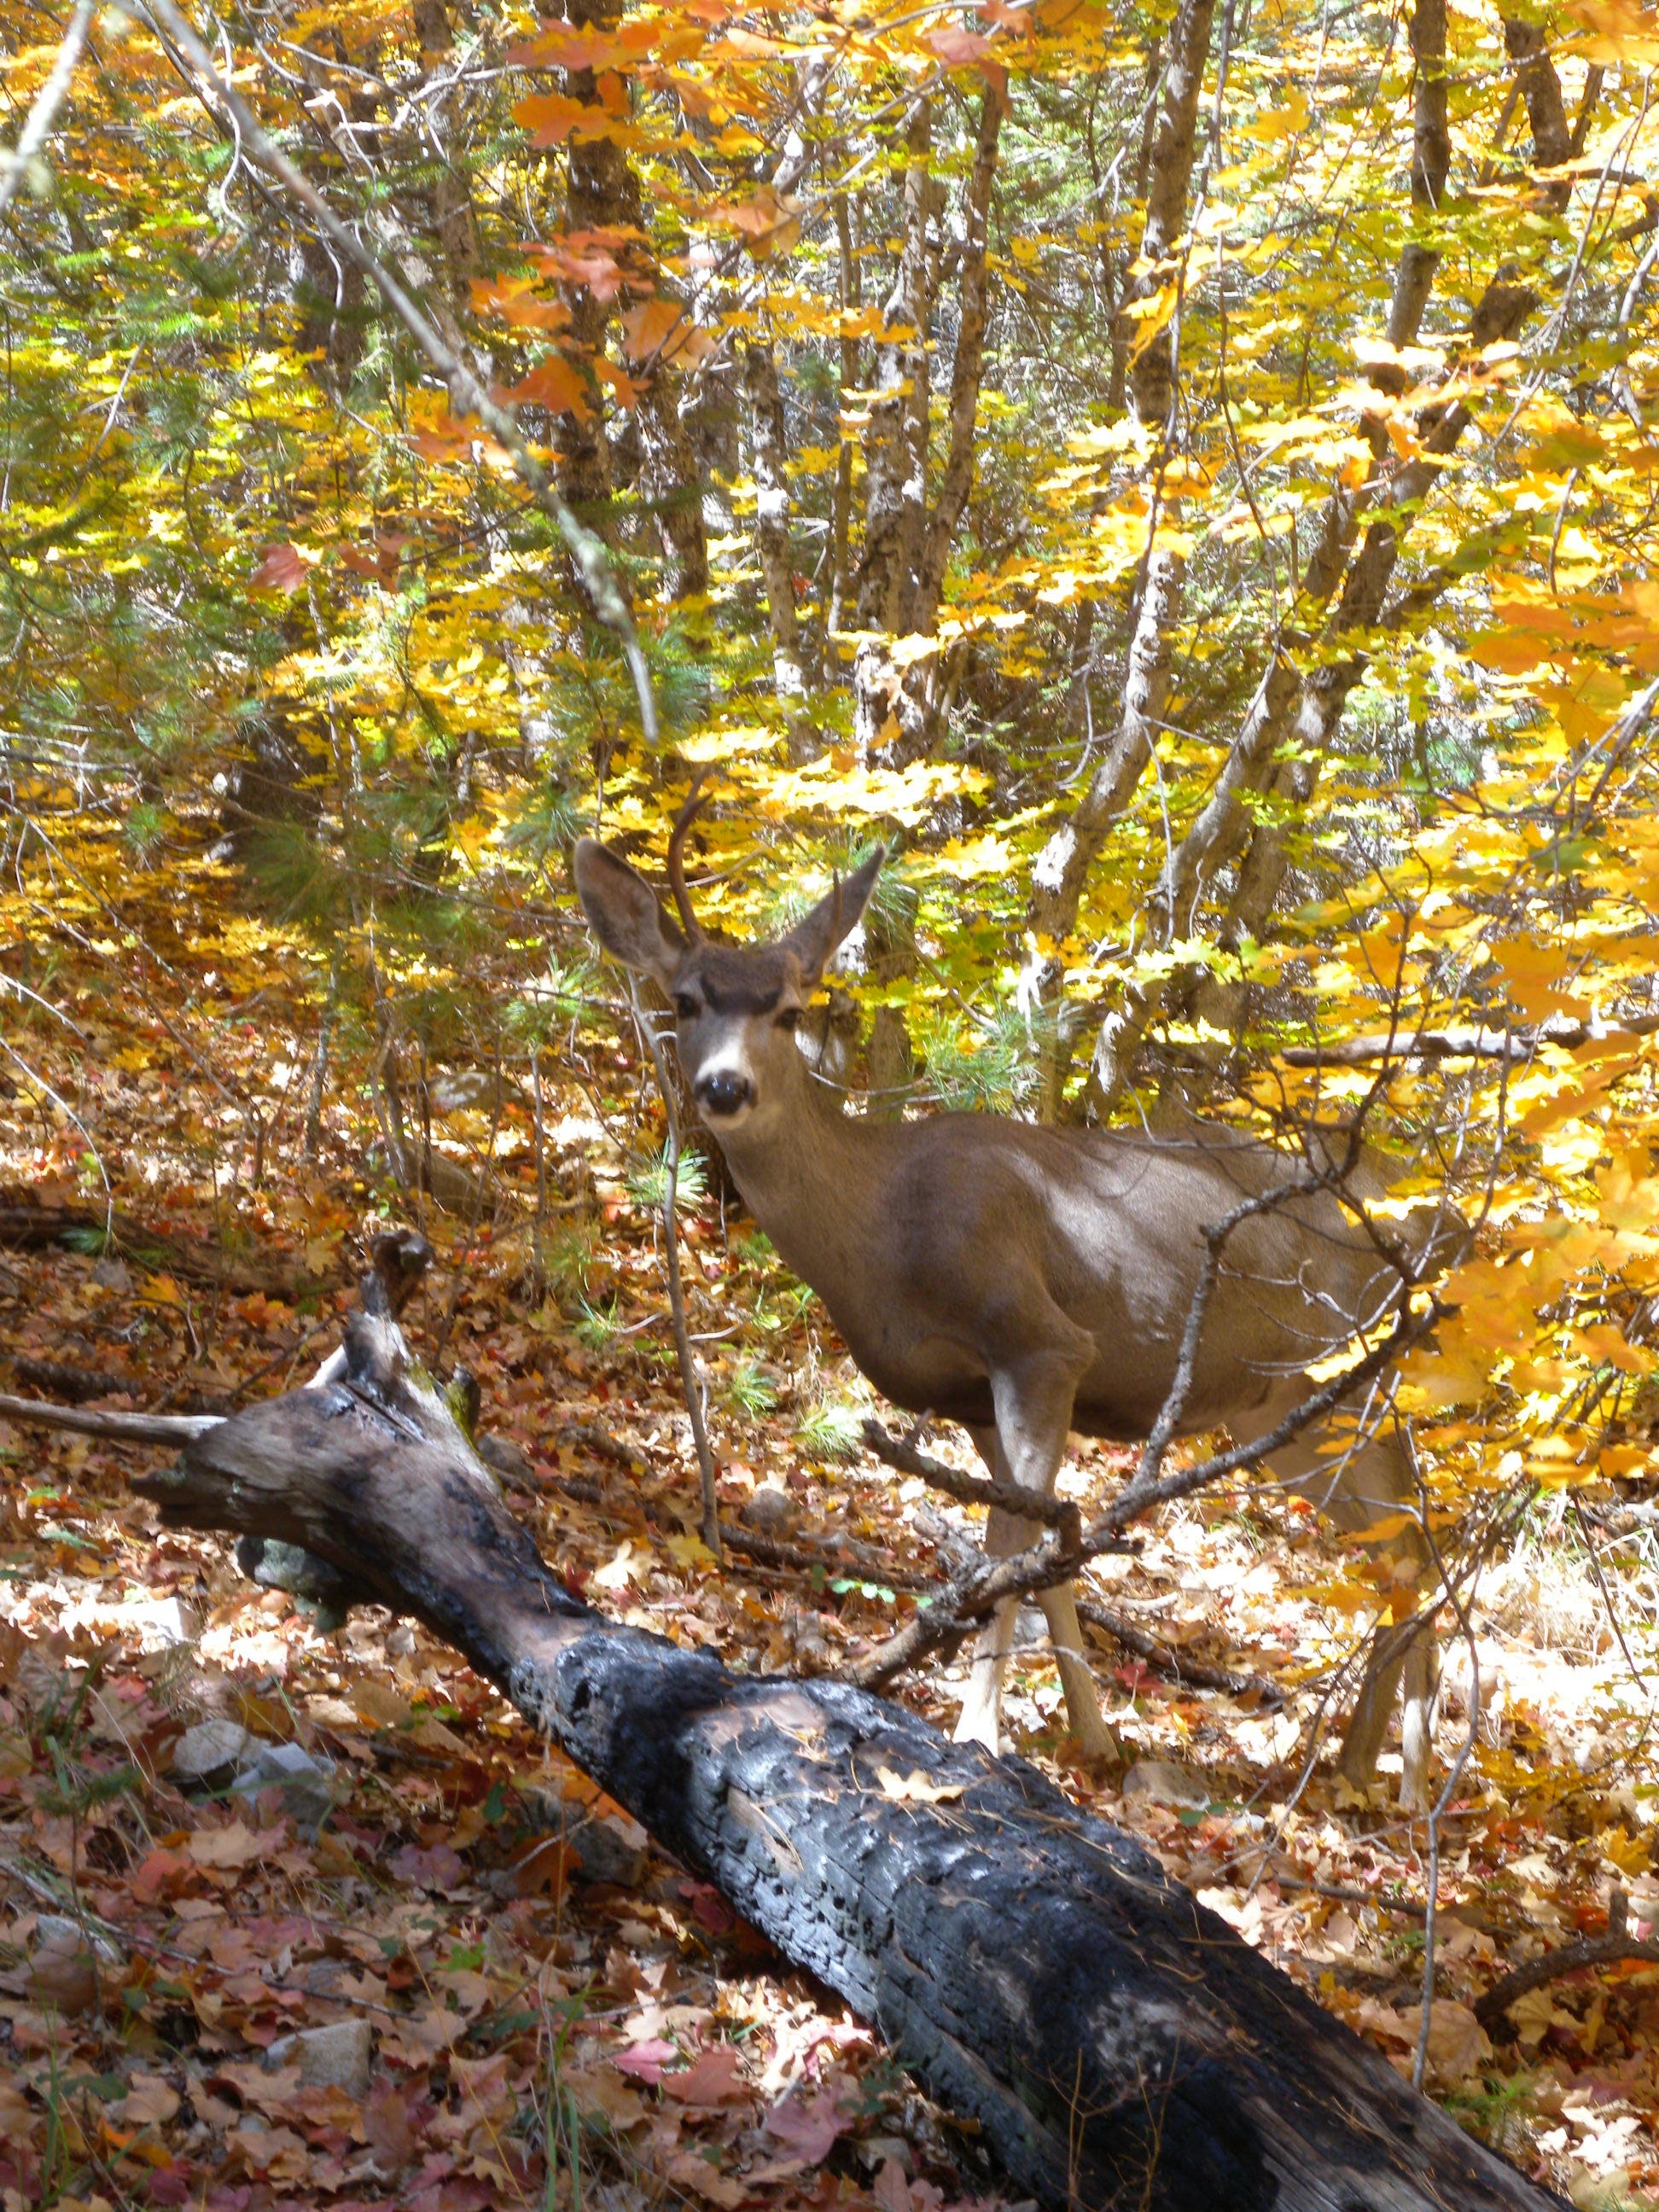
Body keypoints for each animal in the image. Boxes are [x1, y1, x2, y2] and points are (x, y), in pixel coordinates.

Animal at [574, 803, 1454, 1808]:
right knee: (1399, 1546)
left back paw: (1408, 1786)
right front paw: (1092, 1739)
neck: (882, 1230)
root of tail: (1439, 1214)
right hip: (1286, 1415)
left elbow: (1013, 1555)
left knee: (1419, 1546)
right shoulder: (969, 1397)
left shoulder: (1037, 1342)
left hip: (1357, 1379)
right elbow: (1039, 1555)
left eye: (790, 1010)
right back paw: (1356, 1767)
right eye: (686, 1000)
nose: (725, 1087)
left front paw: (979, 1736)